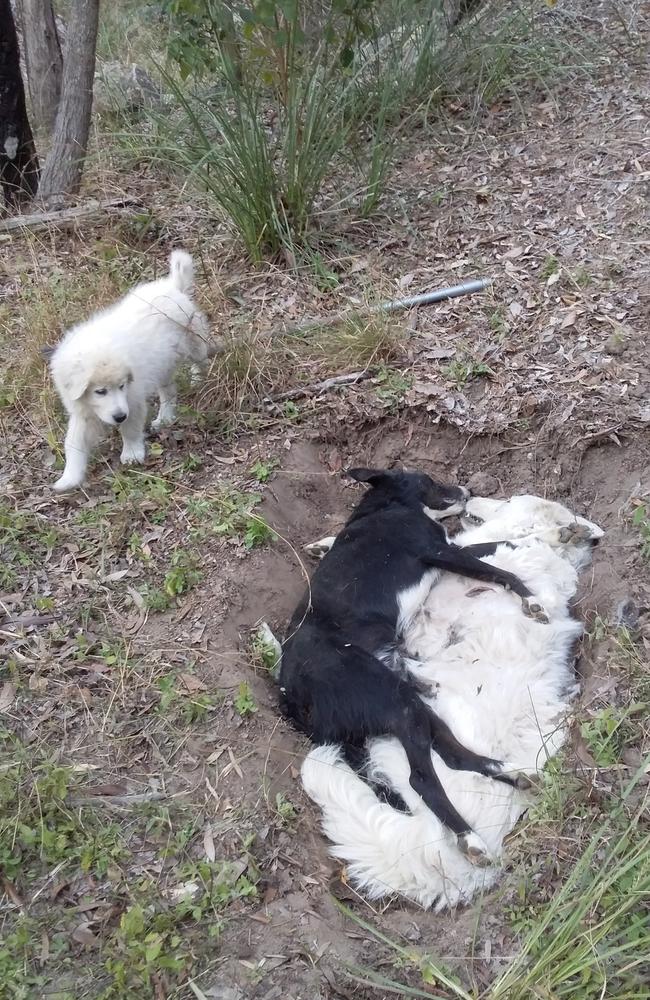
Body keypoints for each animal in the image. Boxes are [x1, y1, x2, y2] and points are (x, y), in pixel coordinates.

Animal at [50, 250, 216, 492]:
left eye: (121, 386)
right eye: (100, 391)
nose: (119, 416)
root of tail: (173, 286)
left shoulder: (133, 399)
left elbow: (130, 428)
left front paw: (131, 454)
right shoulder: (83, 411)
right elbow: (74, 442)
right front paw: (68, 478)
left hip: (193, 342)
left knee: (201, 359)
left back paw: (198, 379)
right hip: (162, 364)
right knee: (168, 391)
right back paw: (165, 418)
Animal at [278, 470, 536, 868]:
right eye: (429, 479)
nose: (467, 490)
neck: (388, 506)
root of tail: (290, 696)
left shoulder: (448, 551)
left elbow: (496, 545)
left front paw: (532, 538)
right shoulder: (440, 551)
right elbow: (500, 571)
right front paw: (533, 599)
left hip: (410, 703)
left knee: (454, 756)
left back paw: (515, 772)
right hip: (396, 703)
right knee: (421, 780)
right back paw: (470, 838)